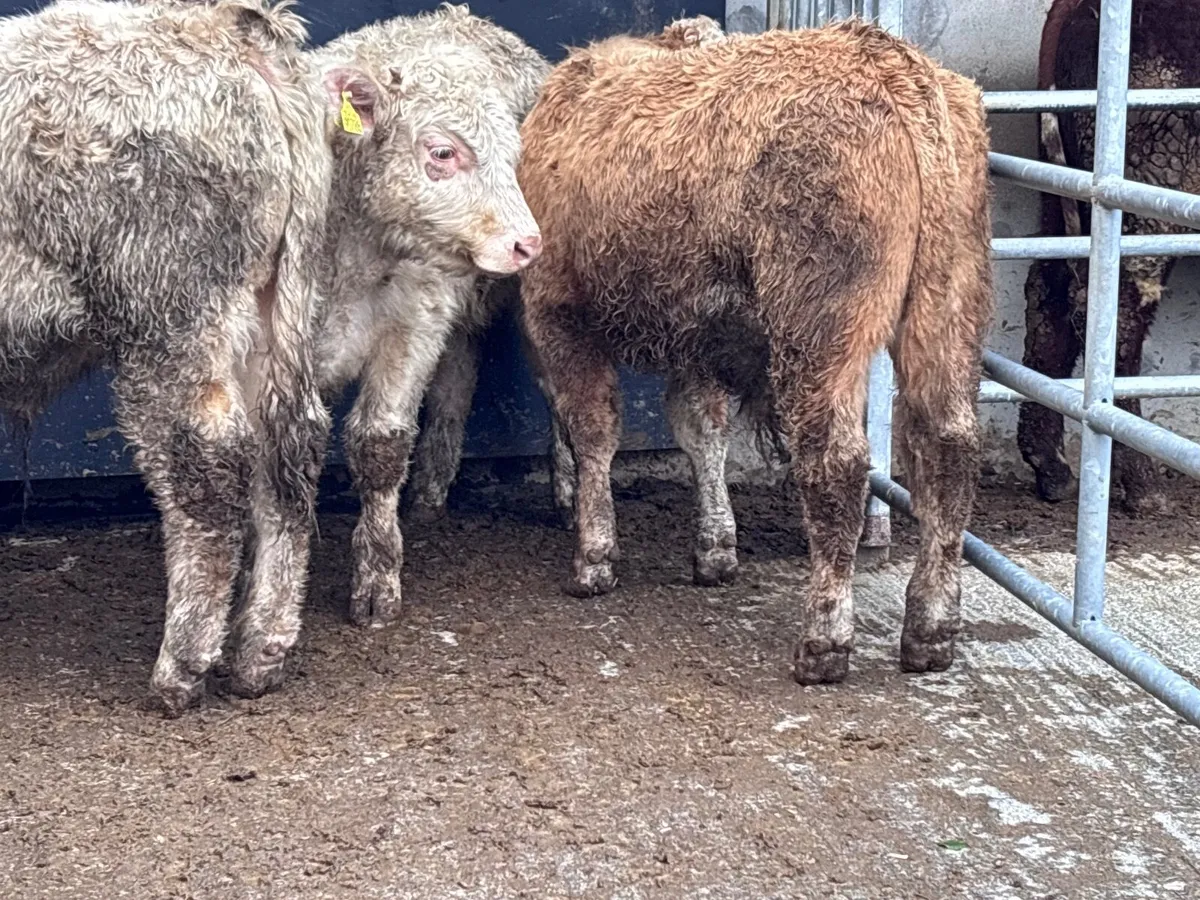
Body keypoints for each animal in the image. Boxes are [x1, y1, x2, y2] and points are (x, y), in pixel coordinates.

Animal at [516, 18, 993, 684]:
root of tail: (885, 60)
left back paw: (824, 640)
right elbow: (701, 431)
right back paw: (930, 629)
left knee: (837, 465)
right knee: (948, 450)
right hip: (946, 311)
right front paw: (716, 549)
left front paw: (593, 557)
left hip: (819, 330)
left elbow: (595, 432)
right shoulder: (698, 335)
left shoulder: (557, 310)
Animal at [1019, 0, 1200, 515]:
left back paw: (1051, 465)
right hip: (1151, 191)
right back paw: (1141, 482)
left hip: (1060, 194)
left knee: (1049, 294)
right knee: (1116, 316)